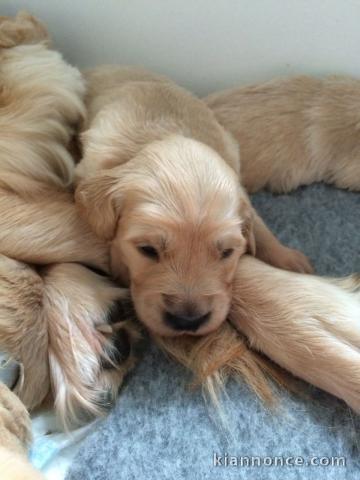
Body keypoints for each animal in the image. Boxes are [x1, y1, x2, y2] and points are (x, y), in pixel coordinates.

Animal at [75, 65, 312, 340]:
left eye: (227, 252)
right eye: (147, 250)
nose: (187, 320)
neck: (166, 136)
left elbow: (259, 227)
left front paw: (288, 260)